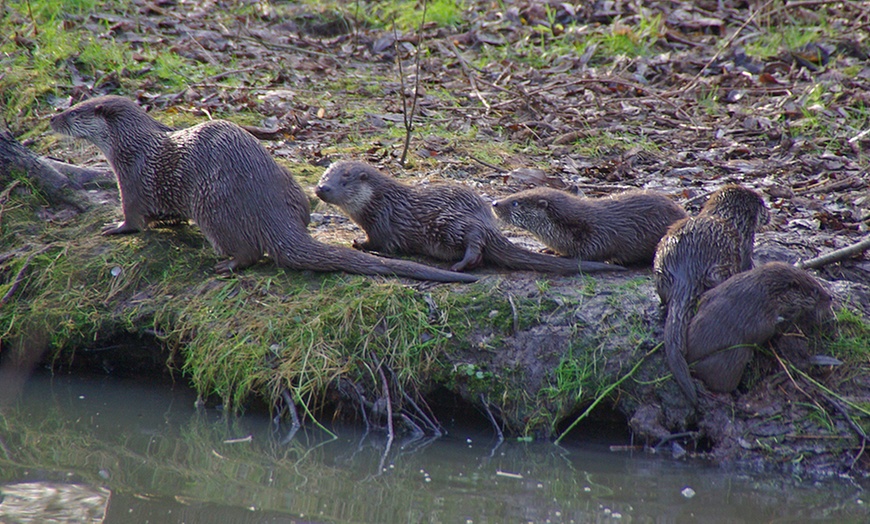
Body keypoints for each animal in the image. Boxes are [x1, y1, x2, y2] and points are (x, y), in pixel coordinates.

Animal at [47, 94, 476, 282]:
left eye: (73, 111)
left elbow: (133, 216)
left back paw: (227, 264)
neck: (132, 146)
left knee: (249, 251)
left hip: (211, 201)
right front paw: (169, 224)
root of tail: (271, 212)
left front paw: (117, 228)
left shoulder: (133, 177)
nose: (51, 117)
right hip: (293, 190)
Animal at [314, 161, 628, 274]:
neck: (379, 201)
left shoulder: (381, 221)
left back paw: (461, 265)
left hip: (451, 223)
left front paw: (359, 243)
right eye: (323, 176)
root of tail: (487, 222)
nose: (321, 188)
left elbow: (380, 243)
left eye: (343, 181)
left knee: (476, 244)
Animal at [656, 185, 772, 406]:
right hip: (720, 266)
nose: (770, 215)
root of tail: (687, 263)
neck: (732, 219)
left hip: (660, 263)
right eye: (763, 204)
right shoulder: (745, 249)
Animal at [688, 262, 832, 392]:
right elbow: (763, 330)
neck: (770, 292)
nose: (830, 297)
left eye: (818, 284)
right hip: (734, 356)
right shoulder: (761, 312)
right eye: (815, 290)